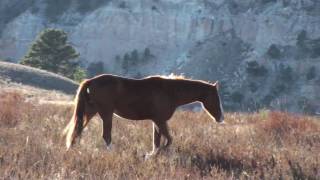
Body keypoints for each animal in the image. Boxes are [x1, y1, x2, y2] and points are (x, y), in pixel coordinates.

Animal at [62, 74, 222, 155]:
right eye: (215, 97)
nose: (221, 118)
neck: (169, 91)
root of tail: (90, 81)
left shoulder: (157, 121)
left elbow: (157, 141)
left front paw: (153, 155)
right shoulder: (160, 120)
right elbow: (168, 140)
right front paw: (154, 155)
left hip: (90, 112)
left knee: (77, 131)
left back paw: (72, 150)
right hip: (106, 113)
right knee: (106, 135)